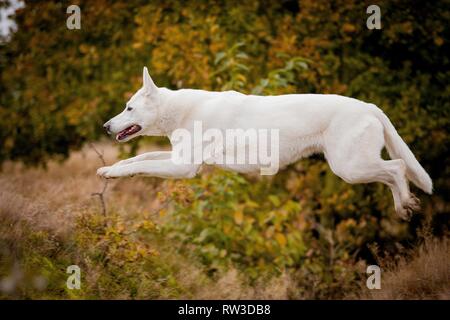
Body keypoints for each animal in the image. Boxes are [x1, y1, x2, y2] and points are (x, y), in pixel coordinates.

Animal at [98, 66, 432, 219]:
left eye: (129, 108)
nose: (106, 126)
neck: (179, 110)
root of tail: (370, 106)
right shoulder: (177, 158)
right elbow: (138, 160)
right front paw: (108, 170)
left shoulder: (184, 168)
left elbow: (141, 164)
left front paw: (113, 172)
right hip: (354, 167)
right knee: (393, 173)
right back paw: (405, 206)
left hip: (350, 167)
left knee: (397, 167)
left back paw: (405, 203)